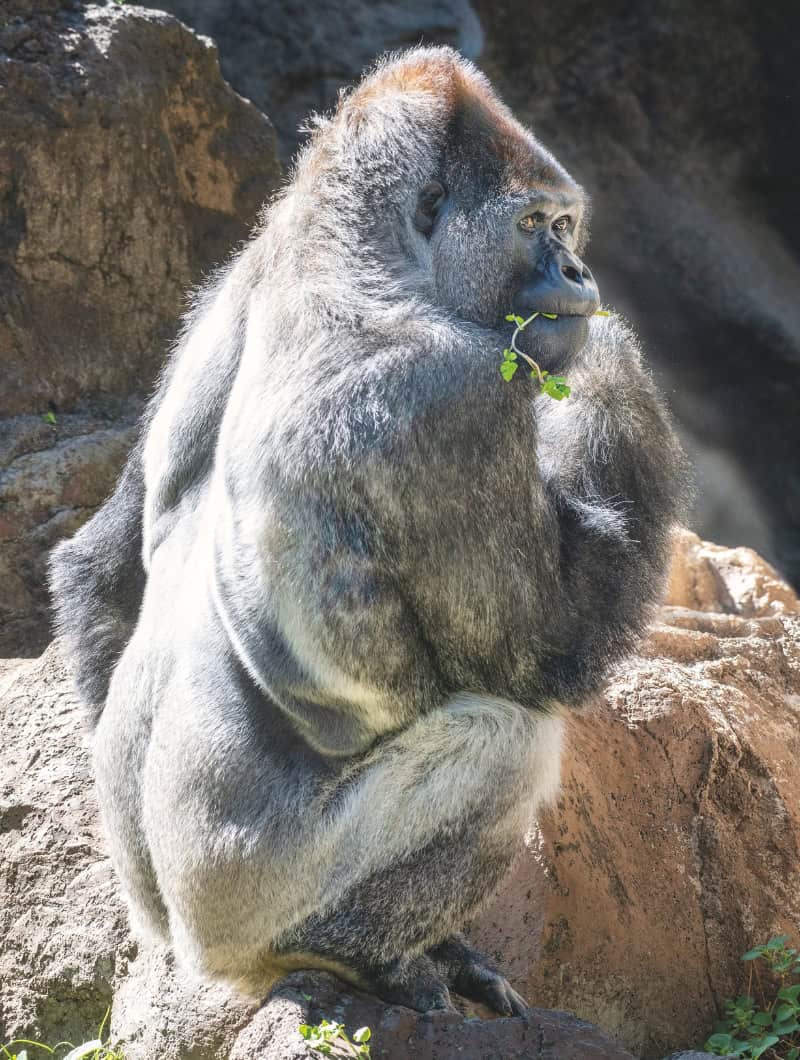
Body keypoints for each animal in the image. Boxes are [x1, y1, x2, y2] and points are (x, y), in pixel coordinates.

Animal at [50, 47, 687, 1015]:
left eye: (566, 224)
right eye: (534, 224)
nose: (579, 274)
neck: (343, 251)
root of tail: (191, 949)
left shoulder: (230, 278)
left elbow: (103, 562)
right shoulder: (451, 394)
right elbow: (550, 654)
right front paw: (613, 366)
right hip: (243, 910)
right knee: (508, 739)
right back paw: (360, 955)